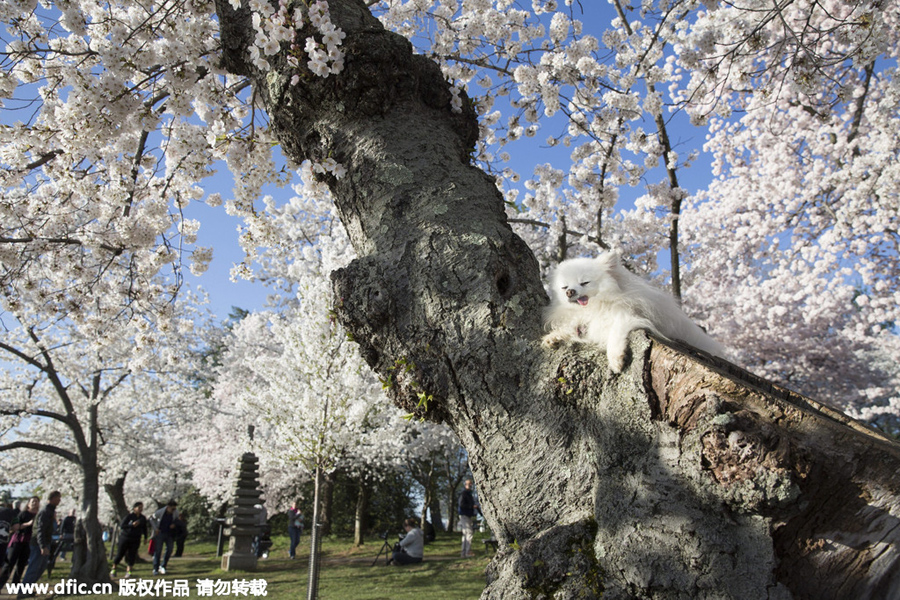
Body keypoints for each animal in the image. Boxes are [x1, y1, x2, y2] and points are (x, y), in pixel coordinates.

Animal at [540, 252, 724, 372]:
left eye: (584, 283)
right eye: (564, 287)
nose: (569, 292)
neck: (595, 307)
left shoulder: (625, 316)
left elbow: (615, 334)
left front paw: (616, 359)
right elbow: (572, 328)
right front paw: (554, 336)